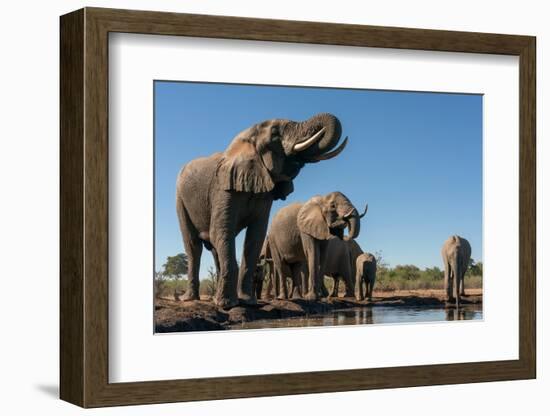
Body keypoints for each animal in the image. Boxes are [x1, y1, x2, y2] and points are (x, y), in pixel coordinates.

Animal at [177, 112, 350, 308]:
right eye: (275, 133)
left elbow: (256, 236)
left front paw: (247, 302)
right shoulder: (222, 188)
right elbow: (221, 231)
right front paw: (227, 305)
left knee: (214, 248)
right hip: (180, 199)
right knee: (193, 245)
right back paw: (190, 299)